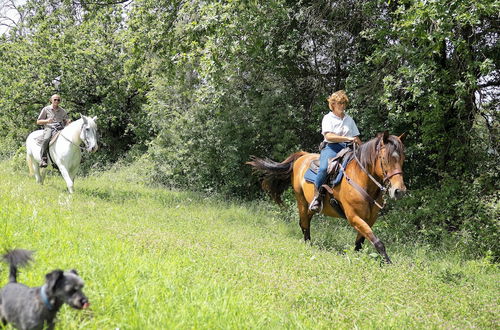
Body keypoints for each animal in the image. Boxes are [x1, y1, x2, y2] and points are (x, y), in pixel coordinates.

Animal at [247, 131, 406, 262]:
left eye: (402, 159)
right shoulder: (353, 216)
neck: (361, 180)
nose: (399, 191)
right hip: (301, 200)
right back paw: (308, 245)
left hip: (310, 205)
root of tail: (303, 156)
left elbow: (360, 242)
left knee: (306, 221)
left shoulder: (371, 219)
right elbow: (378, 242)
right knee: (304, 223)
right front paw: (388, 263)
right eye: (385, 159)